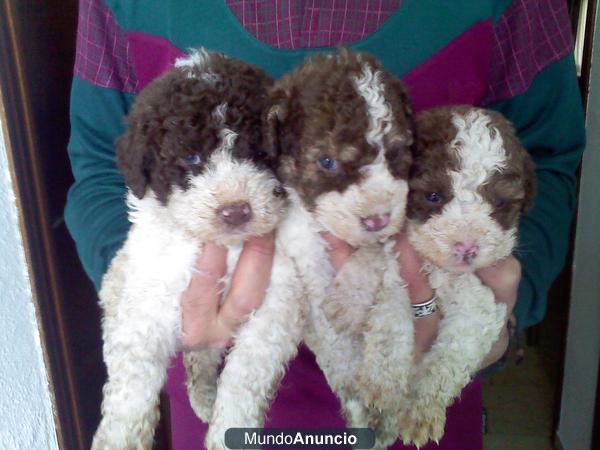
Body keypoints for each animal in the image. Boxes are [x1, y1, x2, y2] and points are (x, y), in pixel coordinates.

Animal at [93, 49, 292, 450]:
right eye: (191, 159)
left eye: (260, 152)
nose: (236, 211)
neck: (225, 248)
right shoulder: (150, 298)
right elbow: (131, 386)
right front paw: (118, 438)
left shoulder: (272, 309)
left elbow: (244, 380)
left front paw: (227, 430)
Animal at [268, 48, 418, 442]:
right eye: (327, 162)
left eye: (396, 154)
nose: (377, 218)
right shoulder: (302, 237)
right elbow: (329, 325)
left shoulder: (393, 244)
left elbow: (390, 301)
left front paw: (384, 381)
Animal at [398, 106, 540, 446]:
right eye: (433, 196)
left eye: (500, 203)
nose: (466, 247)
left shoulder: (479, 309)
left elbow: (450, 356)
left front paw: (421, 412)